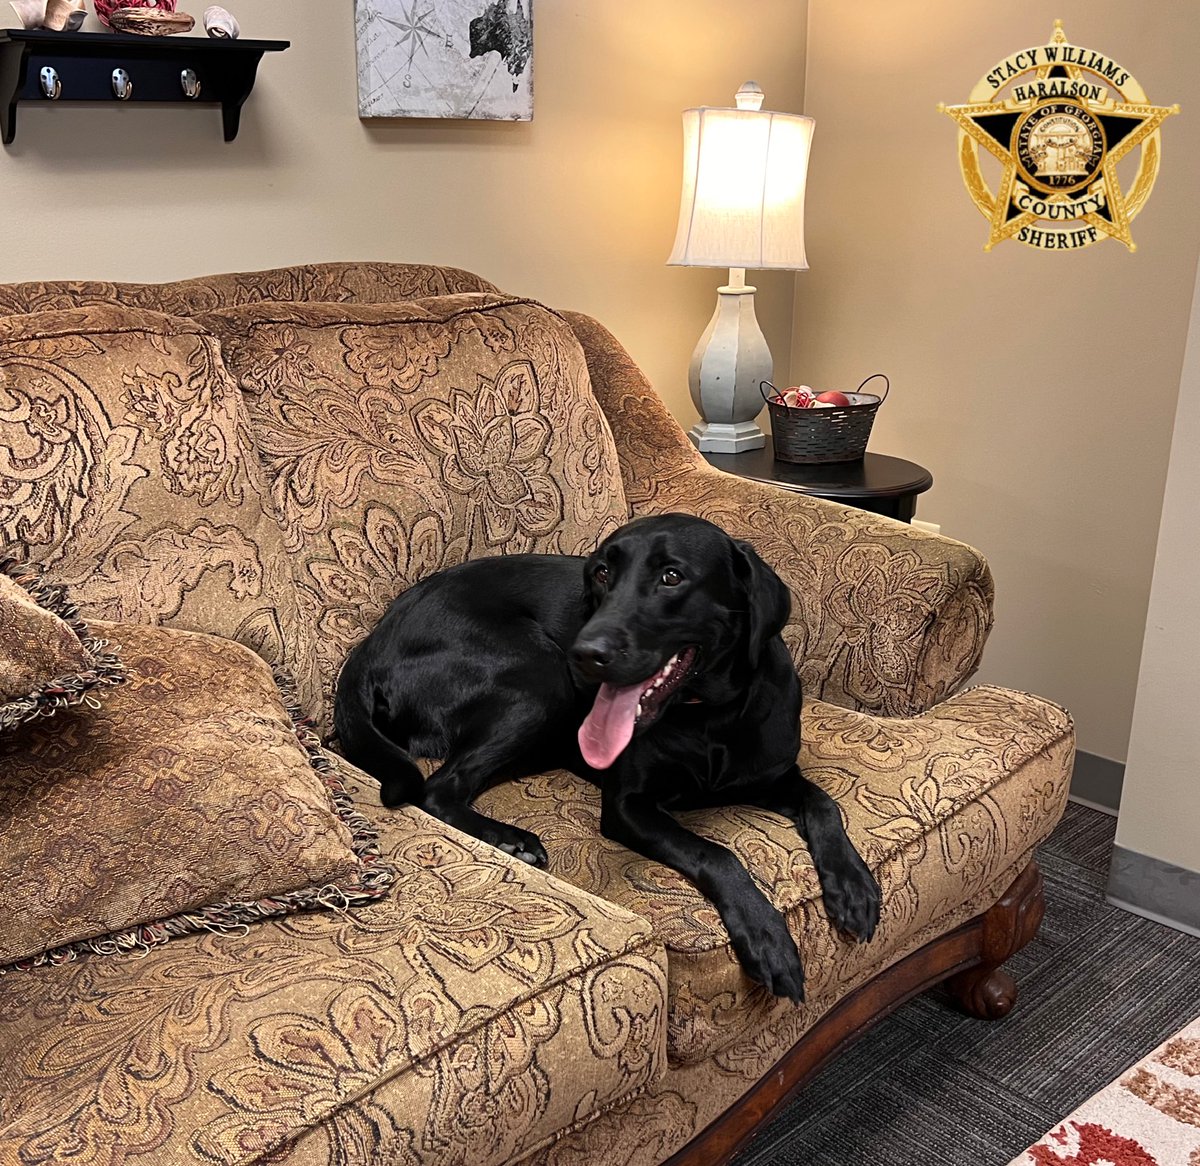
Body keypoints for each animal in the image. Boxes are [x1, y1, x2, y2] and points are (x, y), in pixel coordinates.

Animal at [338, 515, 883, 998]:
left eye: (671, 576)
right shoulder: (628, 806)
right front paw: (766, 937)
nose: (585, 652)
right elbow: (716, 853)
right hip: (541, 678)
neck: (710, 716)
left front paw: (854, 885)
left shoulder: (774, 774)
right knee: (439, 788)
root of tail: (371, 641)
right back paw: (511, 839)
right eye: (601, 573)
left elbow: (824, 804)